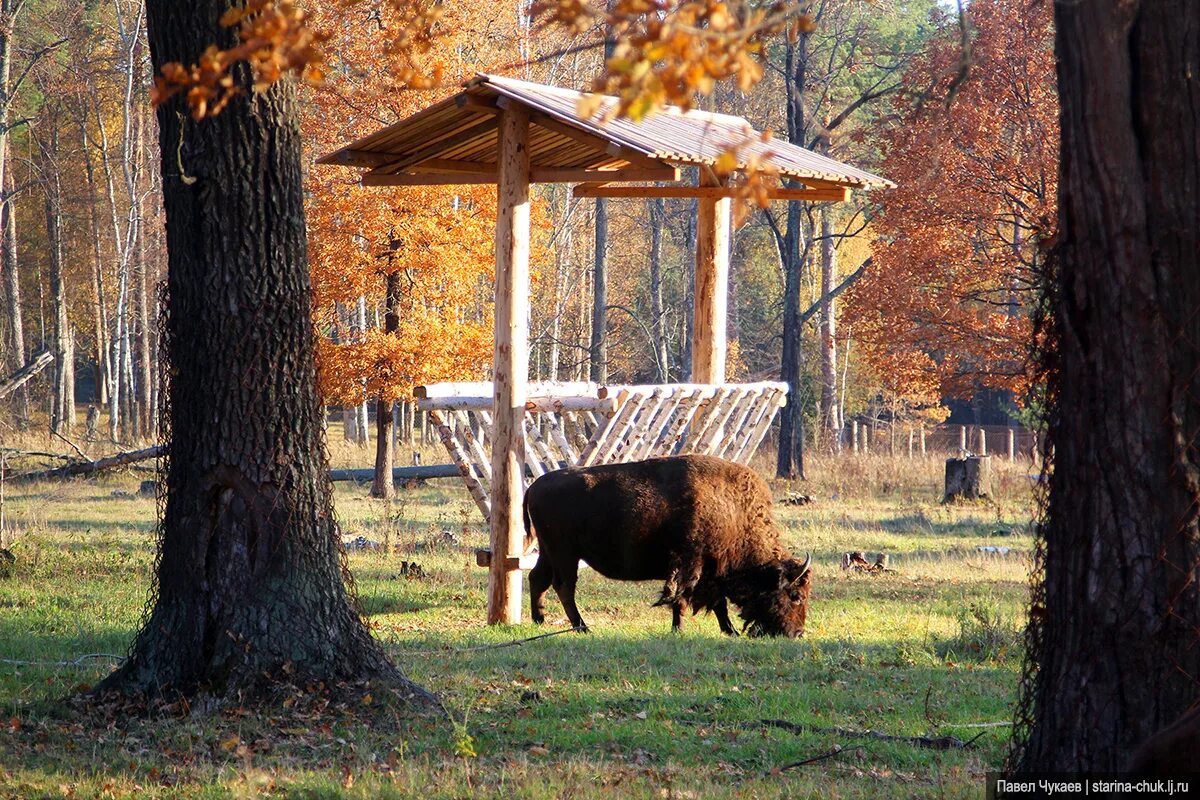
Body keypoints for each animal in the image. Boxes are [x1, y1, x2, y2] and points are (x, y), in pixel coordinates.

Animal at [520, 455, 811, 638]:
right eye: (796, 595)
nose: (797, 633)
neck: (733, 512)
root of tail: (534, 486)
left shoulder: (712, 572)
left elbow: (718, 603)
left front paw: (730, 630)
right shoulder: (690, 563)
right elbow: (680, 598)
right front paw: (678, 629)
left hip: (549, 552)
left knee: (538, 579)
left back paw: (539, 620)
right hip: (565, 554)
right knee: (564, 587)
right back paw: (582, 627)